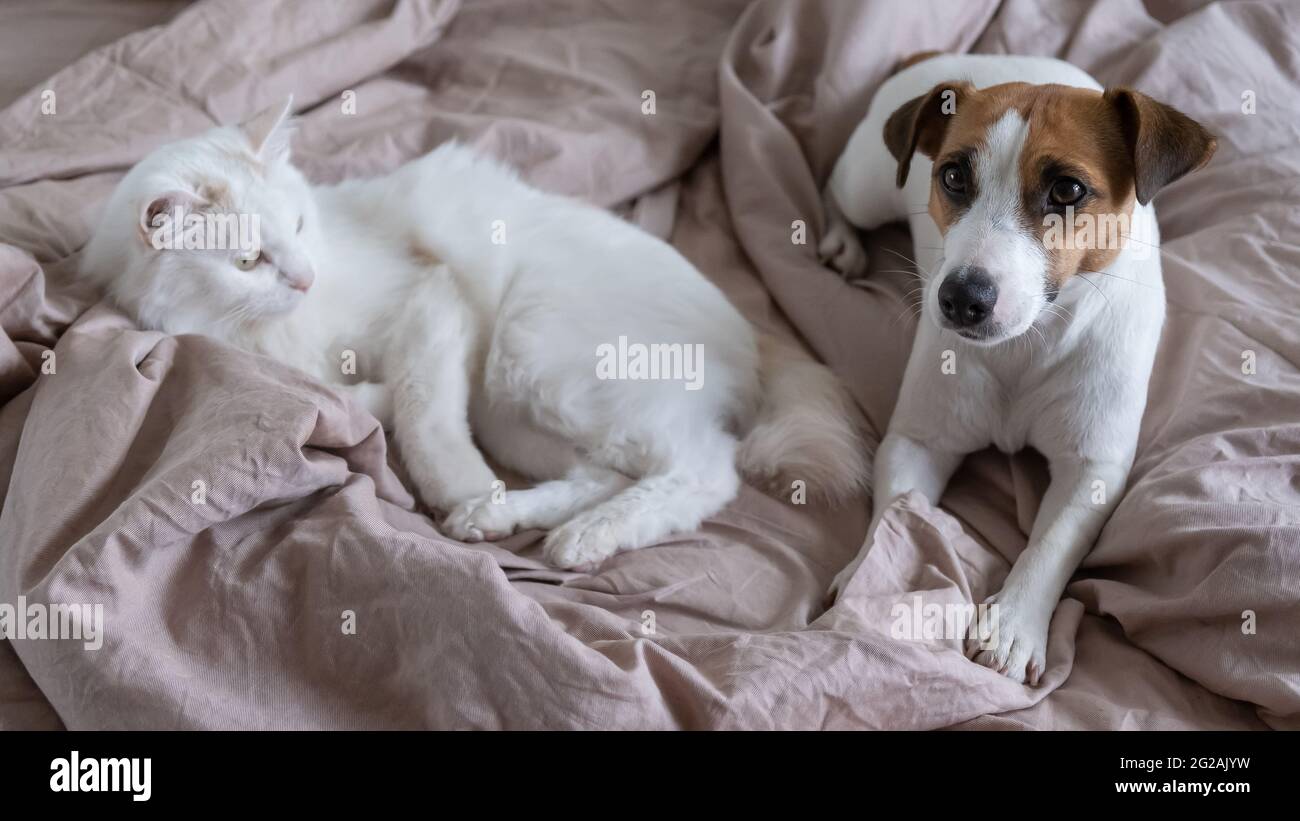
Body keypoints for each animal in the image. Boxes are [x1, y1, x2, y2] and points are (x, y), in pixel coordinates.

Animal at [83, 98, 873, 563]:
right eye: (248, 259)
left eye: (300, 226)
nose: (303, 277)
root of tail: (752, 332)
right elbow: (348, 396)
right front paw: (365, 406)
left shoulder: (431, 300)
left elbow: (422, 411)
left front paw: (446, 476)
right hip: (515, 410)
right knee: (608, 474)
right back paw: (497, 518)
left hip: (533, 353)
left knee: (706, 468)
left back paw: (574, 537)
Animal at [821, 52, 1216, 685]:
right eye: (954, 177)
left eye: (1067, 189)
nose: (960, 298)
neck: (1025, 345)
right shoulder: (918, 440)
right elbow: (897, 517)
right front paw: (868, 573)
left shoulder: (1092, 469)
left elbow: (1050, 545)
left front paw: (1011, 626)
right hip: (868, 185)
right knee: (837, 188)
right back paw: (840, 238)